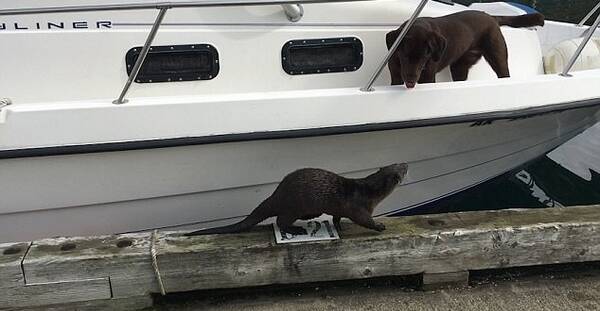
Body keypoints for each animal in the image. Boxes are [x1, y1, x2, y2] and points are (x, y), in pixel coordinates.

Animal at [185, 163, 410, 236]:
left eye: (399, 163)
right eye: (402, 168)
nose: (407, 163)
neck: (368, 192)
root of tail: (277, 194)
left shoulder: (341, 209)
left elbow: (336, 217)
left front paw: (339, 227)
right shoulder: (359, 208)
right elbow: (364, 220)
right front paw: (379, 226)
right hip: (294, 205)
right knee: (280, 221)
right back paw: (296, 229)